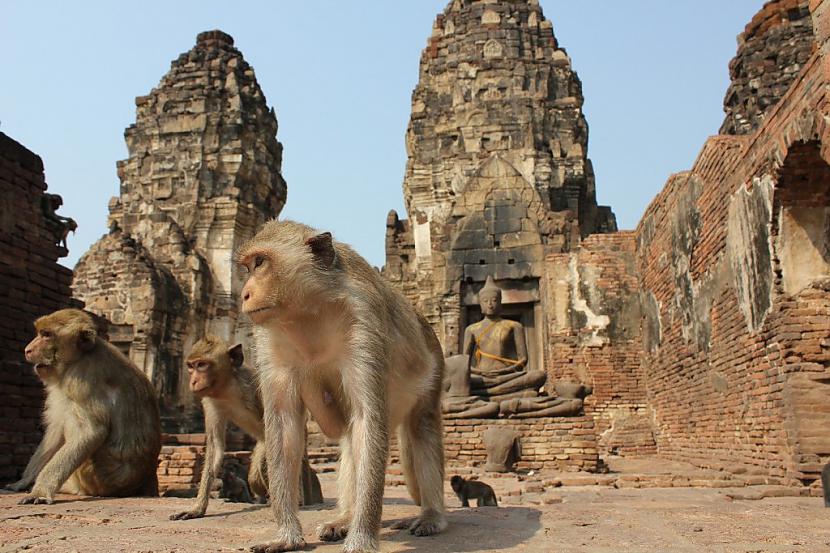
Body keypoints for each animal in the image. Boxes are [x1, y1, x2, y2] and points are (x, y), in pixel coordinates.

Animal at [4, 308, 161, 502]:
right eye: (40, 333)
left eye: (47, 335)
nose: (27, 350)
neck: (79, 357)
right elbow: (55, 431)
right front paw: (23, 482)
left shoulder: (80, 381)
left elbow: (90, 433)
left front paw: (40, 490)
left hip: (100, 477)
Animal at [171, 334, 324, 520]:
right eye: (191, 366)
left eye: (202, 365)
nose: (193, 381)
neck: (228, 388)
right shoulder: (210, 401)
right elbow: (216, 446)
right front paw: (197, 508)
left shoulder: (258, 387)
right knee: (255, 477)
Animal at [237, 220, 448, 552]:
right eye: (247, 267)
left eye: (260, 262)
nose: (244, 293)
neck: (310, 310)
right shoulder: (268, 338)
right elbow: (285, 424)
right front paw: (286, 536)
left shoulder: (364, 321)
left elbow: (366, 419)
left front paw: (361, 538)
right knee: (350, 439)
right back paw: (345, 518)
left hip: (433, 372)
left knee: (421, 428)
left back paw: (431, 515)